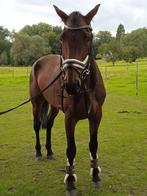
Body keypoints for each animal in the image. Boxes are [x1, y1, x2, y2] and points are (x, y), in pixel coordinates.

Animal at [29, 4, 105, 193]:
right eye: (62, 38)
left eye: (87, 37)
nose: (70, 84)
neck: (85, 89)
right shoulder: (70, 118)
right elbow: (71, 149)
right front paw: (70, 181)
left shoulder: (96, 116)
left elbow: (93, 145)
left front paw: (96, 176)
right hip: (36, 103)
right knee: (36, 125)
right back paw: (39, 152)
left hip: (54, 107)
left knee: (48, 123)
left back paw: (49, 152)